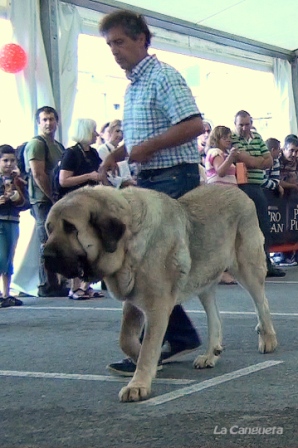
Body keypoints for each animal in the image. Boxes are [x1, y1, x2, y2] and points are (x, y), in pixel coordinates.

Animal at [43, 184, 278, 400]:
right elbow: (126, 339)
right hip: (204, 278)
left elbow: (148, 346)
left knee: (262, 303)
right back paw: (211, 354)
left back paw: (267, 340)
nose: (45, 254)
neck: (128, 239)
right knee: (215, 317)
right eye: (49, 228)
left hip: (247, 267)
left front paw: (138, 384)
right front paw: (146, 361)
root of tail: (238, 190)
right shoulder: (133, 302)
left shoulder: (157, 307)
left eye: (70, 227)